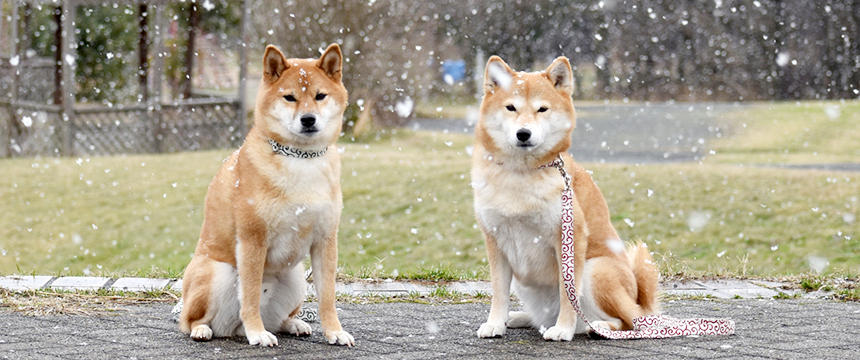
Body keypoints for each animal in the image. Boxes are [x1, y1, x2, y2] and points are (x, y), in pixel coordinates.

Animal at [180, 43, 354, 348]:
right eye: (290, 97)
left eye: (320, 96)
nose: (308, 119)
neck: (300, 159)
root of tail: (232, 329)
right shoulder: (253, 239)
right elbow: (249, 296)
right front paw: (257, 333)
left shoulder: (325, 239)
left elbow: (328, 297)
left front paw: (334, 331)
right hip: (217, 273)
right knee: (190, 319)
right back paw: (204, 330)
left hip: (296, 278)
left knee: (282, 317)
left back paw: (294, 324)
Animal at [470, 55, 660, 340]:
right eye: (511, 108)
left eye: (542, 109)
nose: (523, 133)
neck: (521, 174)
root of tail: (639, 300)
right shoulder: (495, 240)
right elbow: (498, 291)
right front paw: (495, 323)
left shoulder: (569, 239)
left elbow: (567, 294)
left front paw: (562, 329)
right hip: (526, 284)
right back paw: (519, 317)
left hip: (596, 271)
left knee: (629, 321)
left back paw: (599, 328)